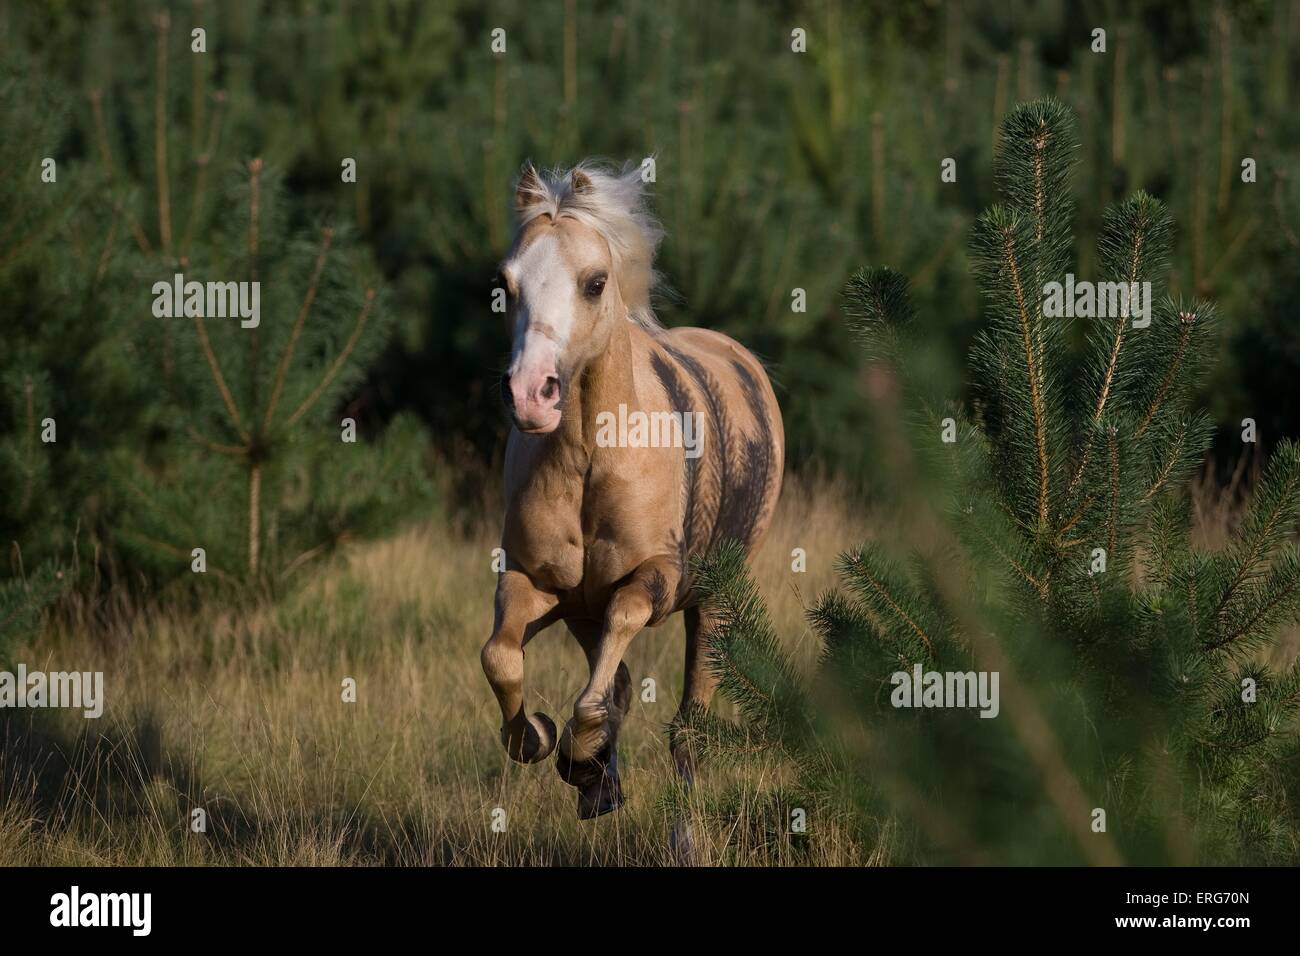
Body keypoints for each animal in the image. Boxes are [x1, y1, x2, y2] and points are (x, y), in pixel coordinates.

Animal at [480, 160, 784, 822]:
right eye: (506, 285)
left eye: (595, 283)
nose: (529, 394)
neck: (593, 461)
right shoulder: (537, 581)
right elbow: (501, 657)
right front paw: (549, 743)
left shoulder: (657, 575)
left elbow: (621, 630)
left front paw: (581, 745)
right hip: (579, 609)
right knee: (614, 679)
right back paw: (597, 783)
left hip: (715, 602)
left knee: (688, 727)